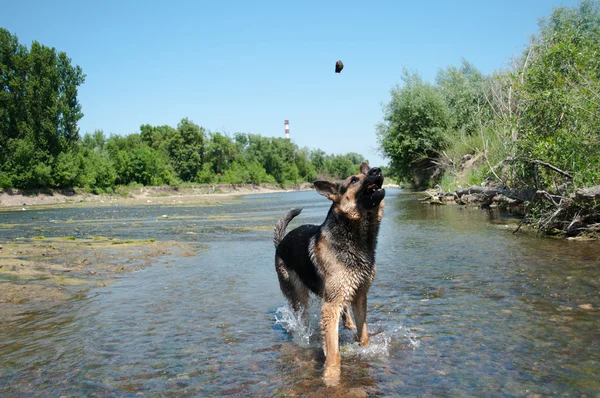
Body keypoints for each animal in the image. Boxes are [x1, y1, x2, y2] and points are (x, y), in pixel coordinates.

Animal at [272, 161, 384, 374]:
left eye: (367, 173)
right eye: (354, 180)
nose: (377, 170)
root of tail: (280, 242)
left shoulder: (360, 296)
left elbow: (364, 334)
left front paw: (365, 349)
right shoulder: (330, 306)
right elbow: (333, 350)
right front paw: (331, 373)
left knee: (345, 309)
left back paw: (348, 323)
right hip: (300, 295)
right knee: (302, 315)